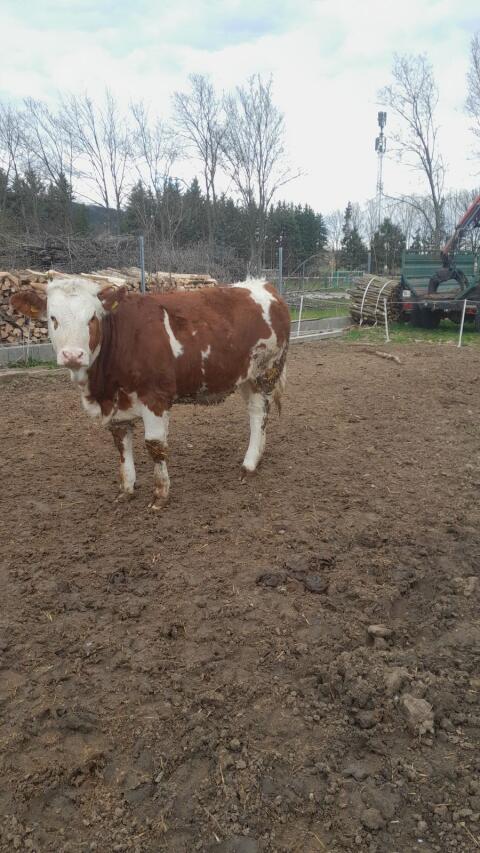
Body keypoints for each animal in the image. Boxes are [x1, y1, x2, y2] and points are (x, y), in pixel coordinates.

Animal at [11, 278, 290, 510]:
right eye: (53, 318)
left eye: (92, 317)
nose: (72, 355)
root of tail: (263, 285)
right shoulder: (117, 407)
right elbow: (122, 446)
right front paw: (126, 489)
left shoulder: (155, 397)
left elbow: (154, 446)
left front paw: (160, 495)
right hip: (246, 376)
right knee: (254, 412)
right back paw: (256, 458)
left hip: (267, 370)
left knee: (260, 414)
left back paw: (249, 465)